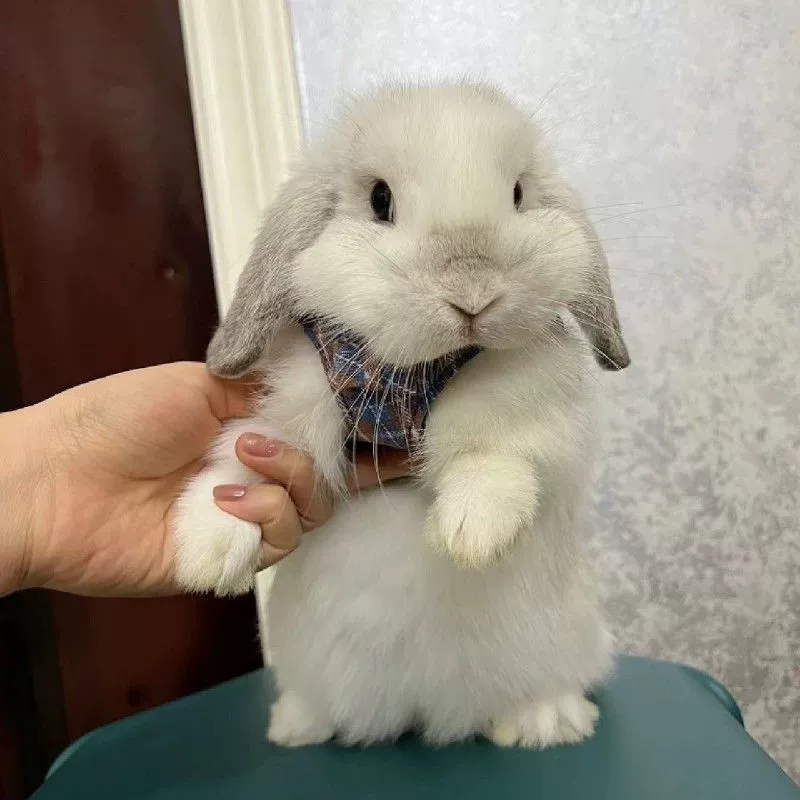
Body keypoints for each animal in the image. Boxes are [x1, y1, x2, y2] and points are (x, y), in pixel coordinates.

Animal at [172, 82, 630, 748]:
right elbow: (251, 452)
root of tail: (423, 711)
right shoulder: (294, 401)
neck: (411, 372)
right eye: (379, 199)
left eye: (519, 195)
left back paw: (544, 720)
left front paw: (469, 531)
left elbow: (495, 450)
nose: (473, 293)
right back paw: (298, 723)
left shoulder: (534, 407)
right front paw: (208, 549)